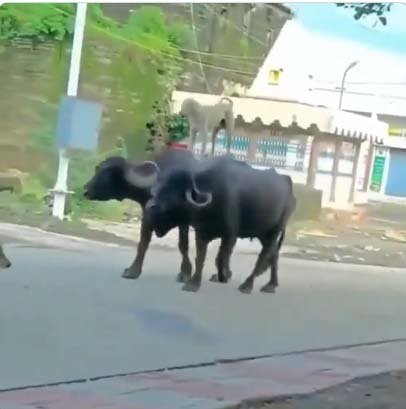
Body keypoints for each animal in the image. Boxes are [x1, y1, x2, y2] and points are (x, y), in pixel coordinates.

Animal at [82, 147, 197, 284]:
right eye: (98, 168)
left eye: (107, 173)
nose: (85, 190)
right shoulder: (147, 217)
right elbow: (143, 243)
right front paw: (133, 271)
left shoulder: (183, 222)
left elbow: (183, 245)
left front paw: (185, 273)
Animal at [141, 156, 296, 294]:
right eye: (159, 188)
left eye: (172, 191)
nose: (150, 206)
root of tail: (288, 184)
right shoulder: (201, 232)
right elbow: (200, 257)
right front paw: (193, 283)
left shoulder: (230, 235)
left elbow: (221, 257)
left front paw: (223, 276)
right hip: (263, 234)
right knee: (274, 254)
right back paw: (271, 285)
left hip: (274, 231)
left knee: (264, 256)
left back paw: (247, 285)